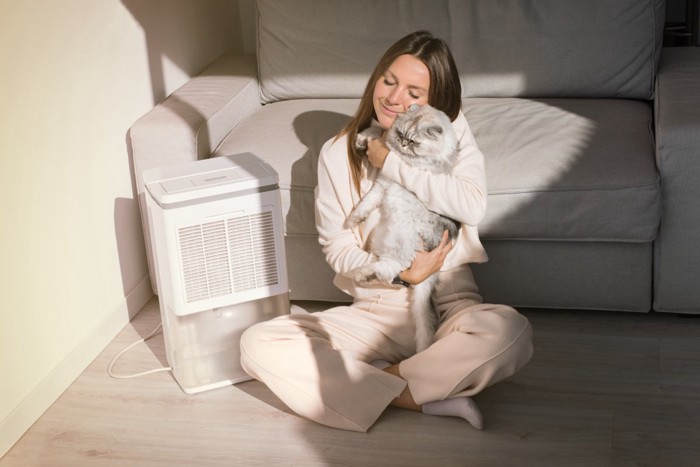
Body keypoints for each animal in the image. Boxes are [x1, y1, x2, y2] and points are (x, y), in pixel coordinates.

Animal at [348, 102, 460, 352]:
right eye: (401, 134)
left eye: (414, 142)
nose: (403, 143)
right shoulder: (381, 186)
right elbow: (378, 130)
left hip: (401, 242)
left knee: (392, 268)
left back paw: (361, 275)